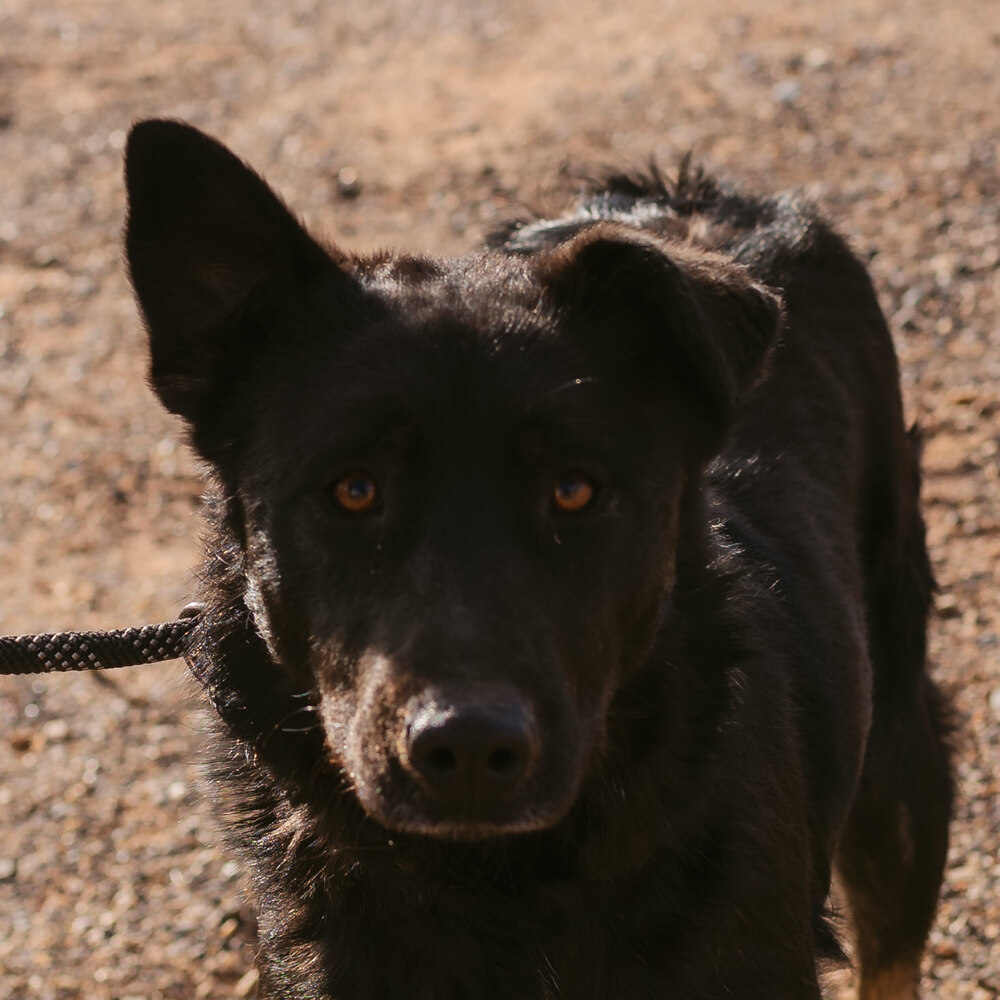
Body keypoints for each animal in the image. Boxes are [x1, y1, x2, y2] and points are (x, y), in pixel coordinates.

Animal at [125, 121, 952, 996]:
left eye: (573, 491)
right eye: (354, 490)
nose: (467, 750)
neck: (505, 886)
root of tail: (689, 191)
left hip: (896, 763)